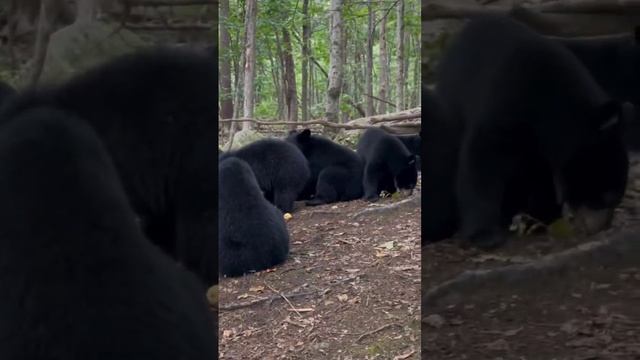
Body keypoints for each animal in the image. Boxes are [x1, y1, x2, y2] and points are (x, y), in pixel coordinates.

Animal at [438, 16, 628, 248]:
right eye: (607, 195)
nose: (602, 227)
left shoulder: (543, 145)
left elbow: (542, 176)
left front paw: (539, 218)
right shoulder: (505, 102)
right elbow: (482, 158)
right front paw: (485, 234)